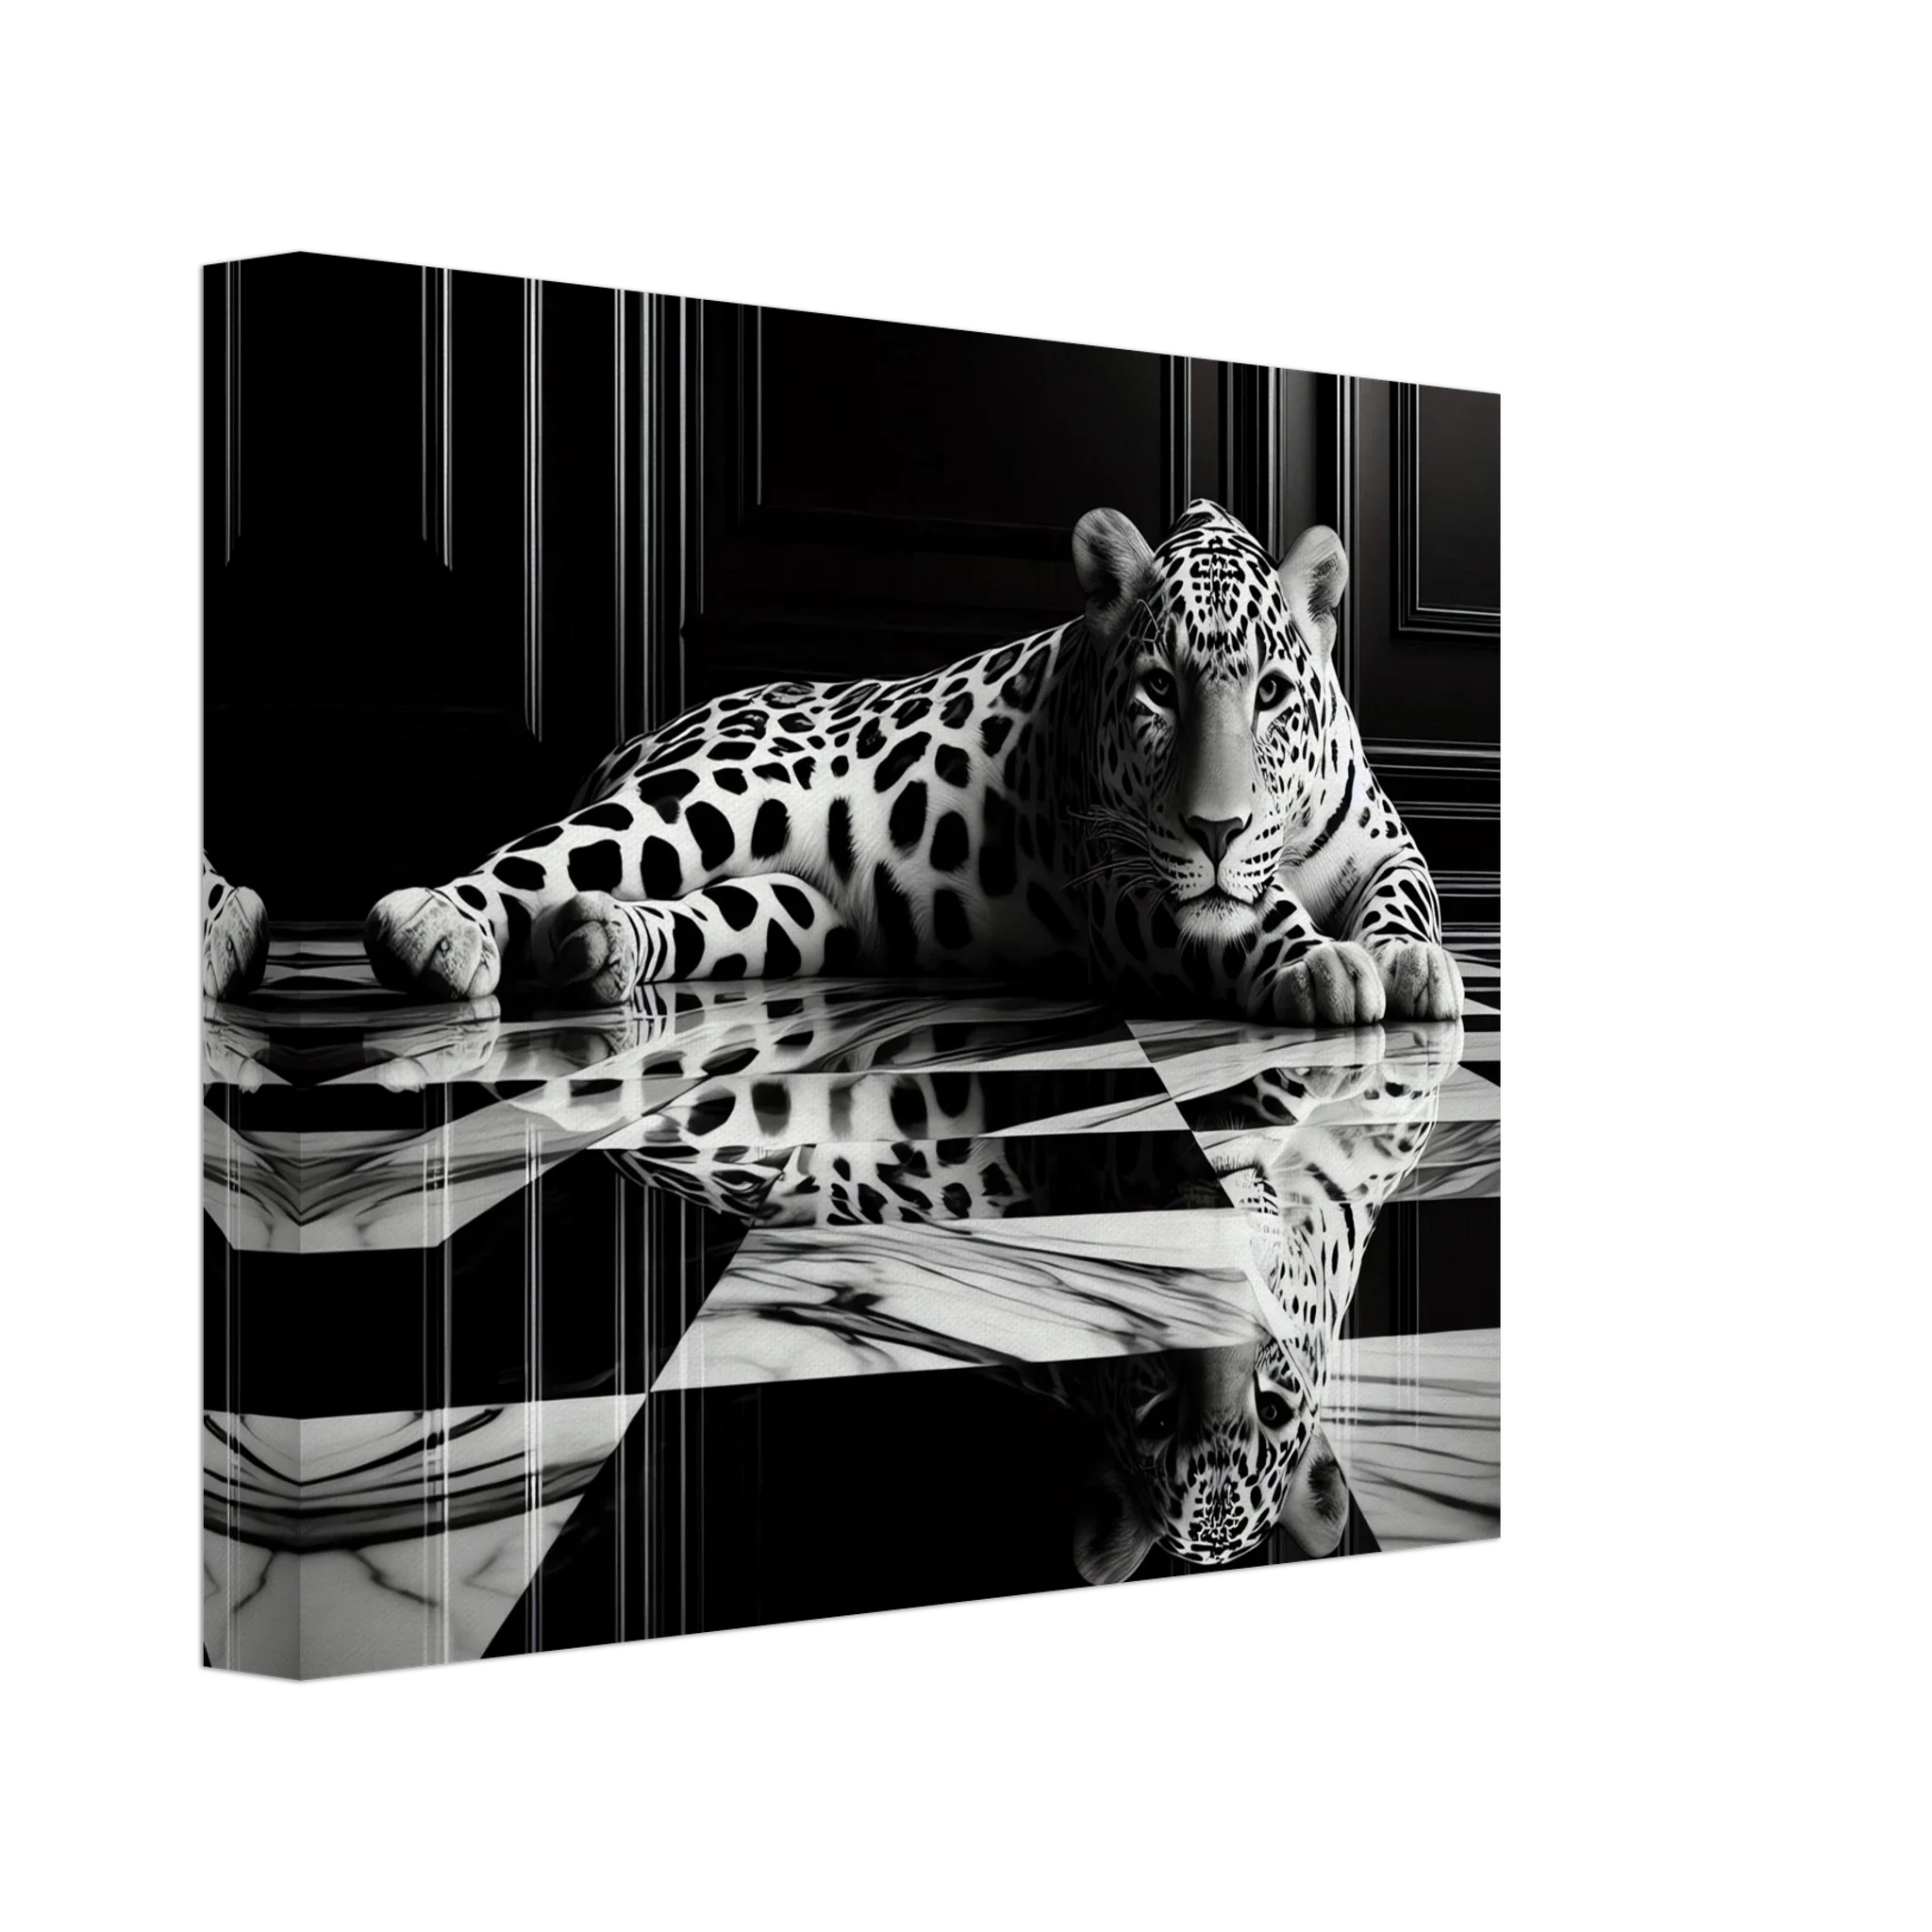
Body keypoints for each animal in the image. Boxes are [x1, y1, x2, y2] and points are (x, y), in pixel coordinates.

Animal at [362, 499, 1462, 1025]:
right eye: (1158, 688)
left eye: (1270, 693)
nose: (1216, 828)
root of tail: (644, 733)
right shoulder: (1132, 889)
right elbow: (1251, 912)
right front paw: (1320, 962)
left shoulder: (1387, 846)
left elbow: (1405, 897)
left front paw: (1407, 960)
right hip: (721, 789)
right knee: (545, 852)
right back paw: (433, 928)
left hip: (798, 913)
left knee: (689, 908)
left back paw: (600, 943)